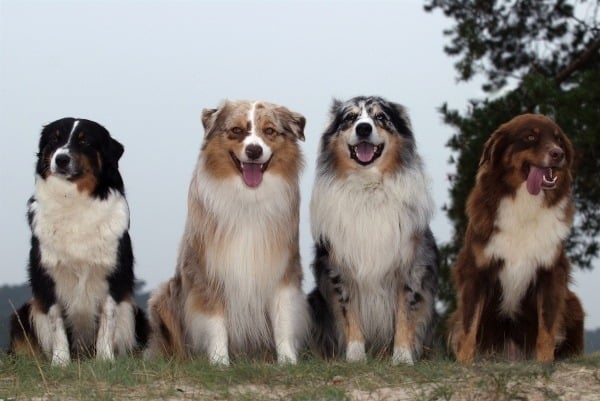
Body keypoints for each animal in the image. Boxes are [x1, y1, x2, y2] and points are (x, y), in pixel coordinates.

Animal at [9, 117, 148, 364]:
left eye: (85, 141)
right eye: (55, 139)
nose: (61, 159)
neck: (73, 199)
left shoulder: (113, 272)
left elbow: (107, 319)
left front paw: (105, 360)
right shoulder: (47, 274)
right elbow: (56, 322)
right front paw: (60, 361)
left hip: (138, 314)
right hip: (21, 314)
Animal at [146, 99, 310, 362]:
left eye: (269, 130)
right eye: (236, 130)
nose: (254, 151)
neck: (248, 198)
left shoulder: (282, 268)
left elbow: (283, 319)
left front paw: (288, 361)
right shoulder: (208, 270)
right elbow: (215, 322)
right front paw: (219, 362)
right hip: (162, 297)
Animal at [308, 95, 438, 364]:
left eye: (380, 117)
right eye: (350, 117)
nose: (364, 129)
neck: (368, 186)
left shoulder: (410, 266)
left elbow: (405, 314)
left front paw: (402, 357)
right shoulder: (340, 267)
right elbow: (350, 313)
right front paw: (355, 355)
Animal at [448, 113, 584, 362]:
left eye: (558, 140)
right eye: (530, 137)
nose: (558, 154)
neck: (525, 203)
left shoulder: (551, 273)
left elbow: (547, 328)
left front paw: (545, 362)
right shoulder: (476, 272)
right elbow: (469, 326)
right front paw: (464, 362)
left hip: (573, 303)